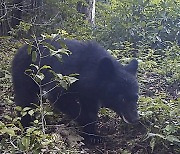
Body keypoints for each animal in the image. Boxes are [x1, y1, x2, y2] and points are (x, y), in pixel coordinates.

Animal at [11, 38, 140, 141]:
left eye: (136, 98)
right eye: (122, 99)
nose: (135, 119)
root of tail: (22, 48)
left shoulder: (90, 94)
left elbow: (90, 108)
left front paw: (93, 135)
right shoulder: (65, 77)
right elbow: (62, 99)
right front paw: (87, 125)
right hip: (26, 74)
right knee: (25, 100)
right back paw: (26, 127)